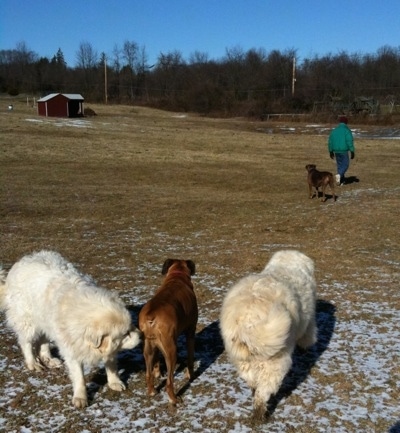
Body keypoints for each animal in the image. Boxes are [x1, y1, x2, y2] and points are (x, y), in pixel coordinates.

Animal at [0, 250, 142, 408]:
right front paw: (80, 397)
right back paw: (33, 363)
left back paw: (49, 359)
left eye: (130, 327)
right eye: (126, 334)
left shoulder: (108, 347)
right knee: (26, 343)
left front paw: (114, 382)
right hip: (28, 321)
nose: (141, 334)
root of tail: (21, 262)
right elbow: (79, 377)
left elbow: (111, 365)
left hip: (45, 320)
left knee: (43, 341)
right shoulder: (72, 349)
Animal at [138, 258, 198, 404]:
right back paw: (174, 399)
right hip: (171, 351)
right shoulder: (190, 332)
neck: (177, 275)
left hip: (148, 348)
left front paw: (158, 373)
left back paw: (152, 391)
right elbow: (190, 357)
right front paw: (191, 376)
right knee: (169, 382)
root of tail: (151, 315)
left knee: (148, 374)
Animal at [220, 250, 318, 418]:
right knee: (263, 392)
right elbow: (308, 335)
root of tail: (248, 320)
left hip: (243, 360)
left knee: (252, 382)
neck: (286, 267)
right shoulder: (309, 319)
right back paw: (260, 415)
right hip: (275, 363)